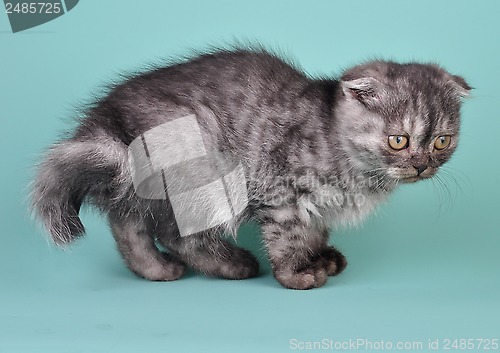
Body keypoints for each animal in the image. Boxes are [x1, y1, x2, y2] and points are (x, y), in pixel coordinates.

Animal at [30, 47, 468, 288]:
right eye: (399, 140)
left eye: (441, 142)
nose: (421, 166)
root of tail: (106, 118)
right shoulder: (280, 191)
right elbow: (287, 237)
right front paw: (296, 274)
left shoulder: (315, 204)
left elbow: (315, 230)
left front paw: (320, 257)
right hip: (202, 164)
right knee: (175, 233)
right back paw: (232, 263)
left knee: (127, 220)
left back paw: (153, 269)